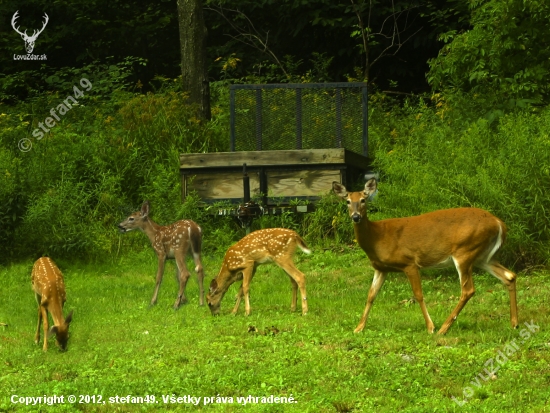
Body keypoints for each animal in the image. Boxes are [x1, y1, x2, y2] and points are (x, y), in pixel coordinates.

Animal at [334, 179, 520, 334]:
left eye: (363, 200)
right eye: (348, 201)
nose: (356, 217)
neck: (377, 237)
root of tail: (499, 223)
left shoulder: (409, 263)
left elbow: (418, 294)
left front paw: (430, 327)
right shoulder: (381, 268)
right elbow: (371, 295)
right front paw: (358, 328)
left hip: (465, 251)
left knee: (468, 290)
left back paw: (443, 329)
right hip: (483, 257)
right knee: (509, 276)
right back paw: (514, 323)